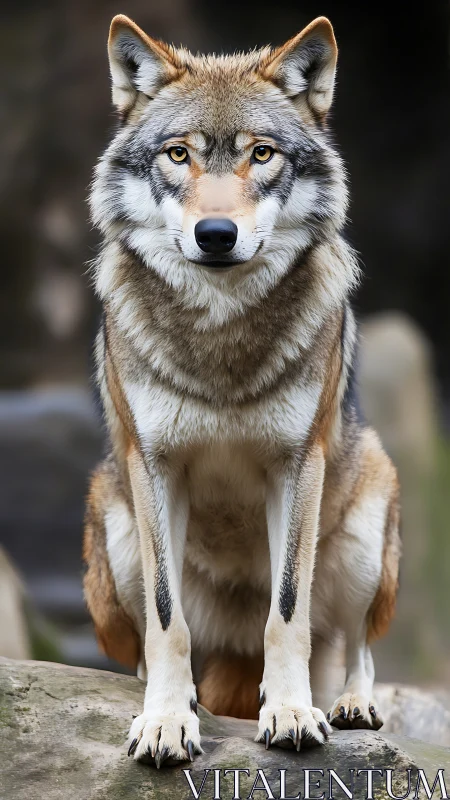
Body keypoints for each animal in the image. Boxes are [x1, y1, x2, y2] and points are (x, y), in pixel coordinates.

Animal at [83, 13, 401, 767]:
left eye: (261, 154)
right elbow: (166, 619)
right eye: (178, 154)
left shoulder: (298, 465)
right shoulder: (154, 466)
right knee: (147, 647)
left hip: (368, 527)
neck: (221, 342)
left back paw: (350, 706)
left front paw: (289, 713)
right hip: (112, 536)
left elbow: (286, 612)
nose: (216, 234)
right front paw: (167, 721)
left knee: (354, 643)